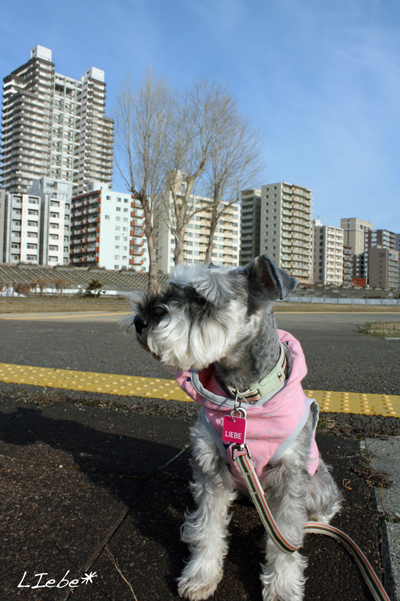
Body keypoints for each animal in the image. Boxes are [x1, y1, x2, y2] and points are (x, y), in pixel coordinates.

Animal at [130, 253, 340, 600]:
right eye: (173, 287)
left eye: (202, 299)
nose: (140, 321)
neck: (242, 396)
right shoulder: (211, 465)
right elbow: (207, 528)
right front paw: (201, 575)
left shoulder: (290, 477)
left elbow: (286, 540)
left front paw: (283, 587)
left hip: (316, 481)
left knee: (326, 499)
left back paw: (322, 515)